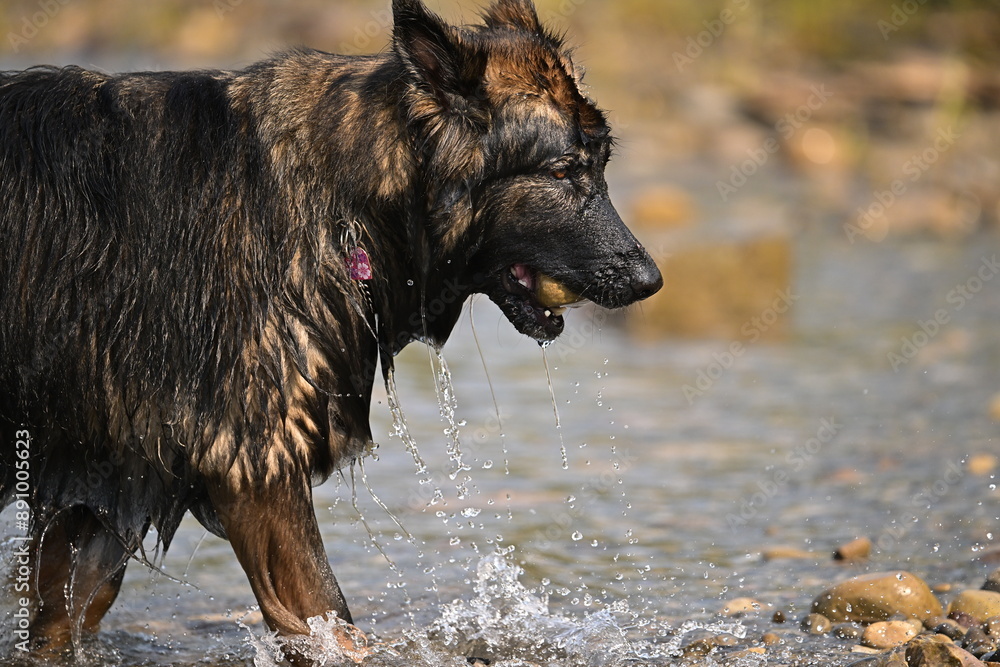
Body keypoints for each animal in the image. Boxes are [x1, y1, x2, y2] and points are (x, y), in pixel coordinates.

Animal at [1, 0, 664, 656]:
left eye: (603, 163)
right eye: (563, 171)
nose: (650, 280)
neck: (347, 199)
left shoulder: (106, 477)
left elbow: (63, 618)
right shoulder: (255, 467)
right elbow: (330, 621)